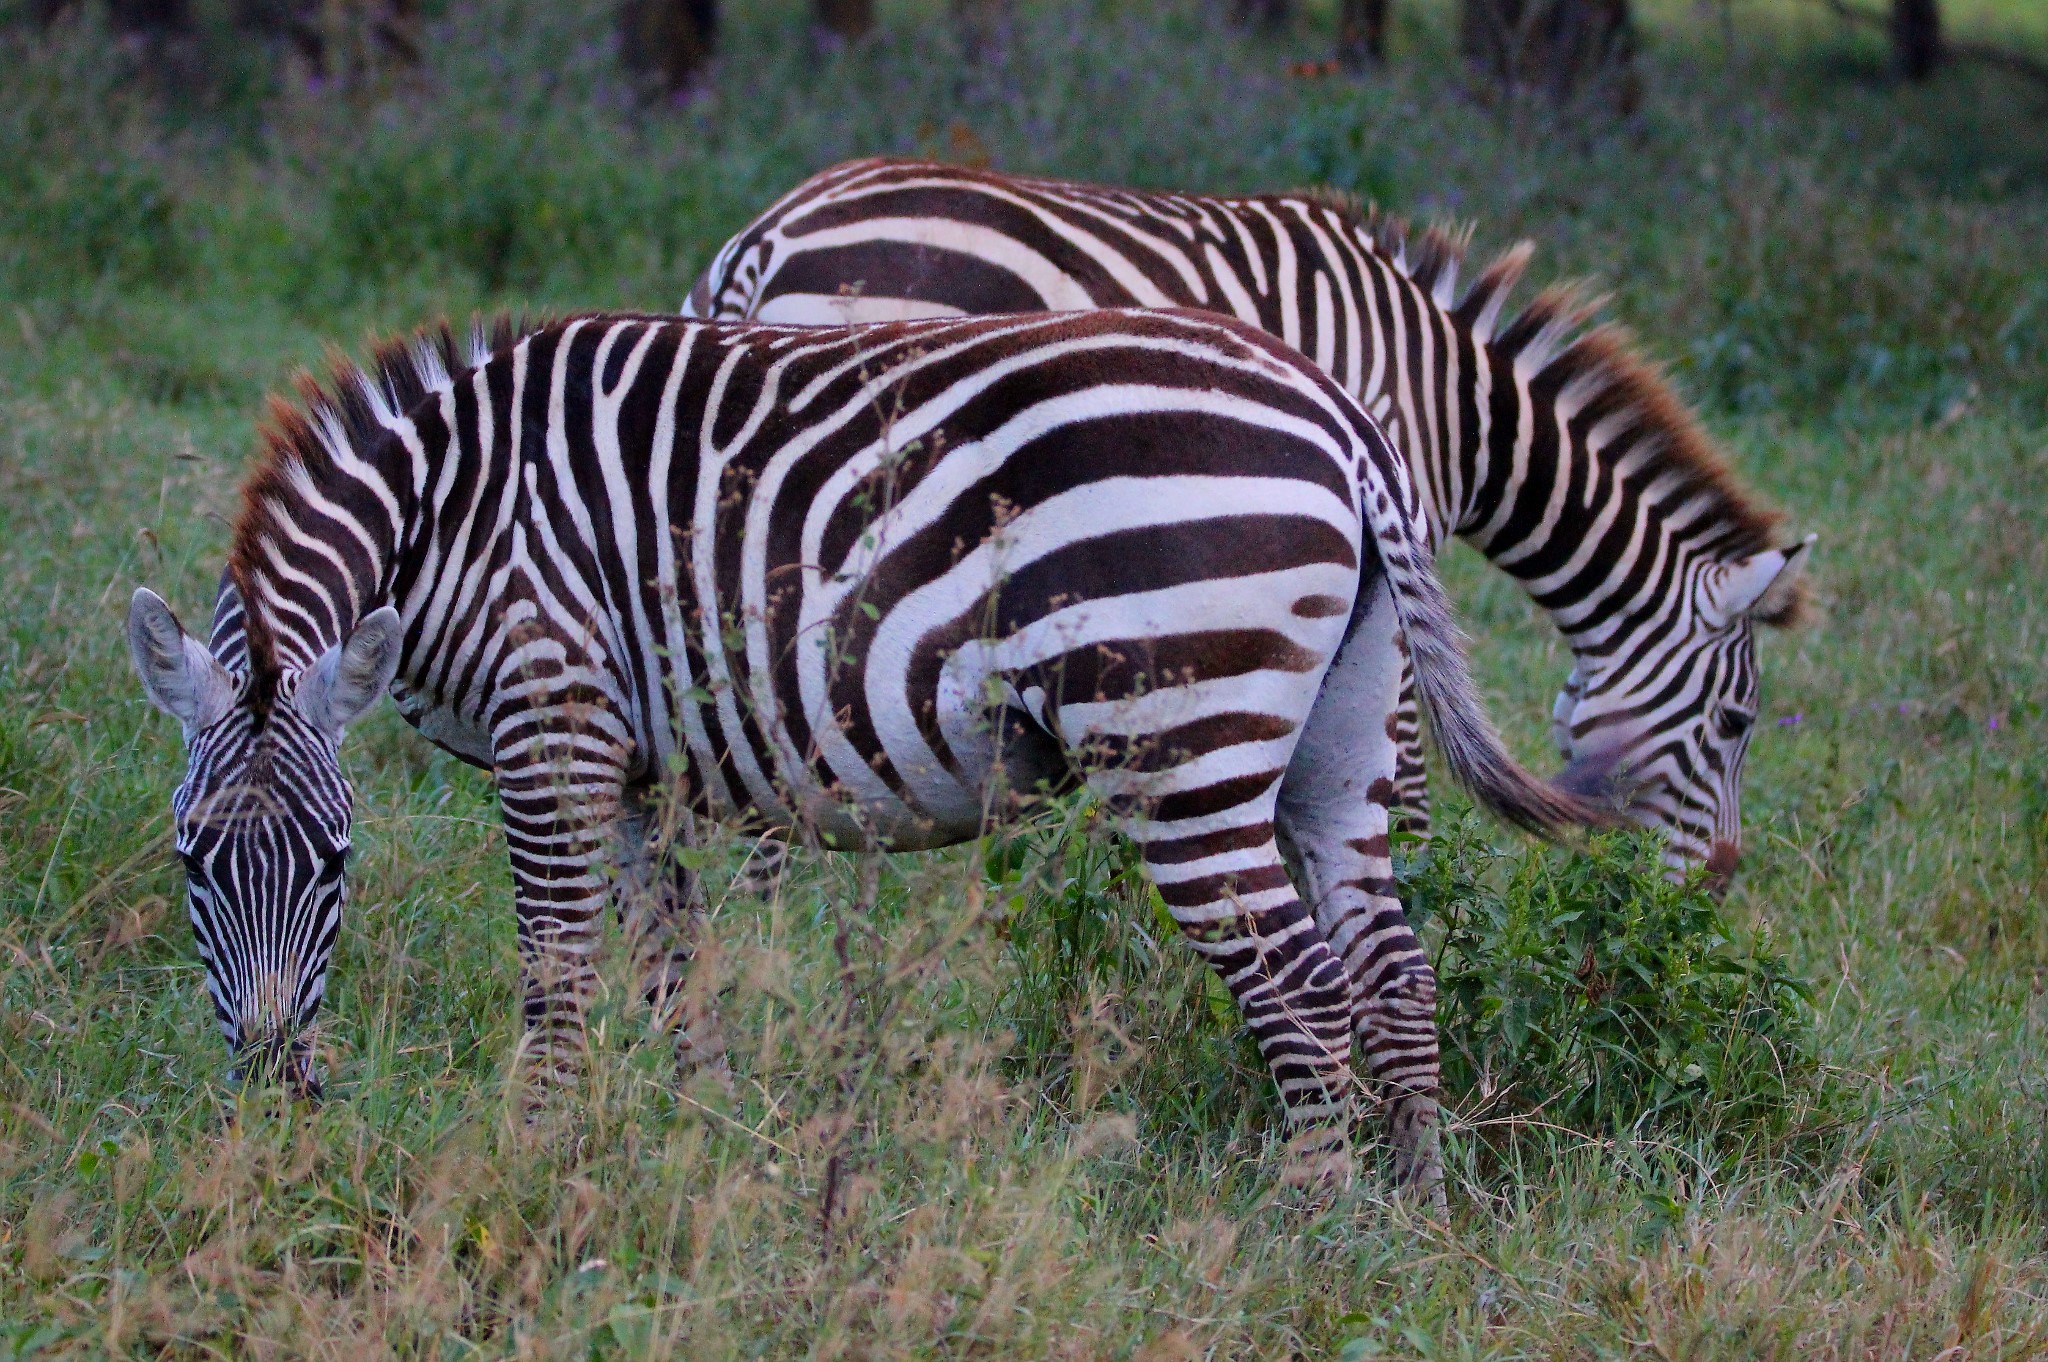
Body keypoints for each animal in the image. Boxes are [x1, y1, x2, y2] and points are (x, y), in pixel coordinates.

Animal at [128, 305, 1613, 1187]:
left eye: (334, 860)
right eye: (193, 862)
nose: (272, 1098)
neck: (449, 514)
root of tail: (1341, 420)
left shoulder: (554, 720)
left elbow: (555, 969)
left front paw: (536, 1158)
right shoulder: (634, 759)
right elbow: (671, 966)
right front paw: (702, 1143)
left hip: (1178, 745)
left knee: (1301, 986)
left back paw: (1306, 1219)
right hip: (1338, 738)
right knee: (1392, 969)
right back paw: (1406, 1219)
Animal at [684, 156, 1810, 880]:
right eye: (1735, 724)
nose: (1715, 885)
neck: (1459, 411)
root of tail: (763, 238)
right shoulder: (1389, 529)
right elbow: (1401, 763)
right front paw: (1422, 882)